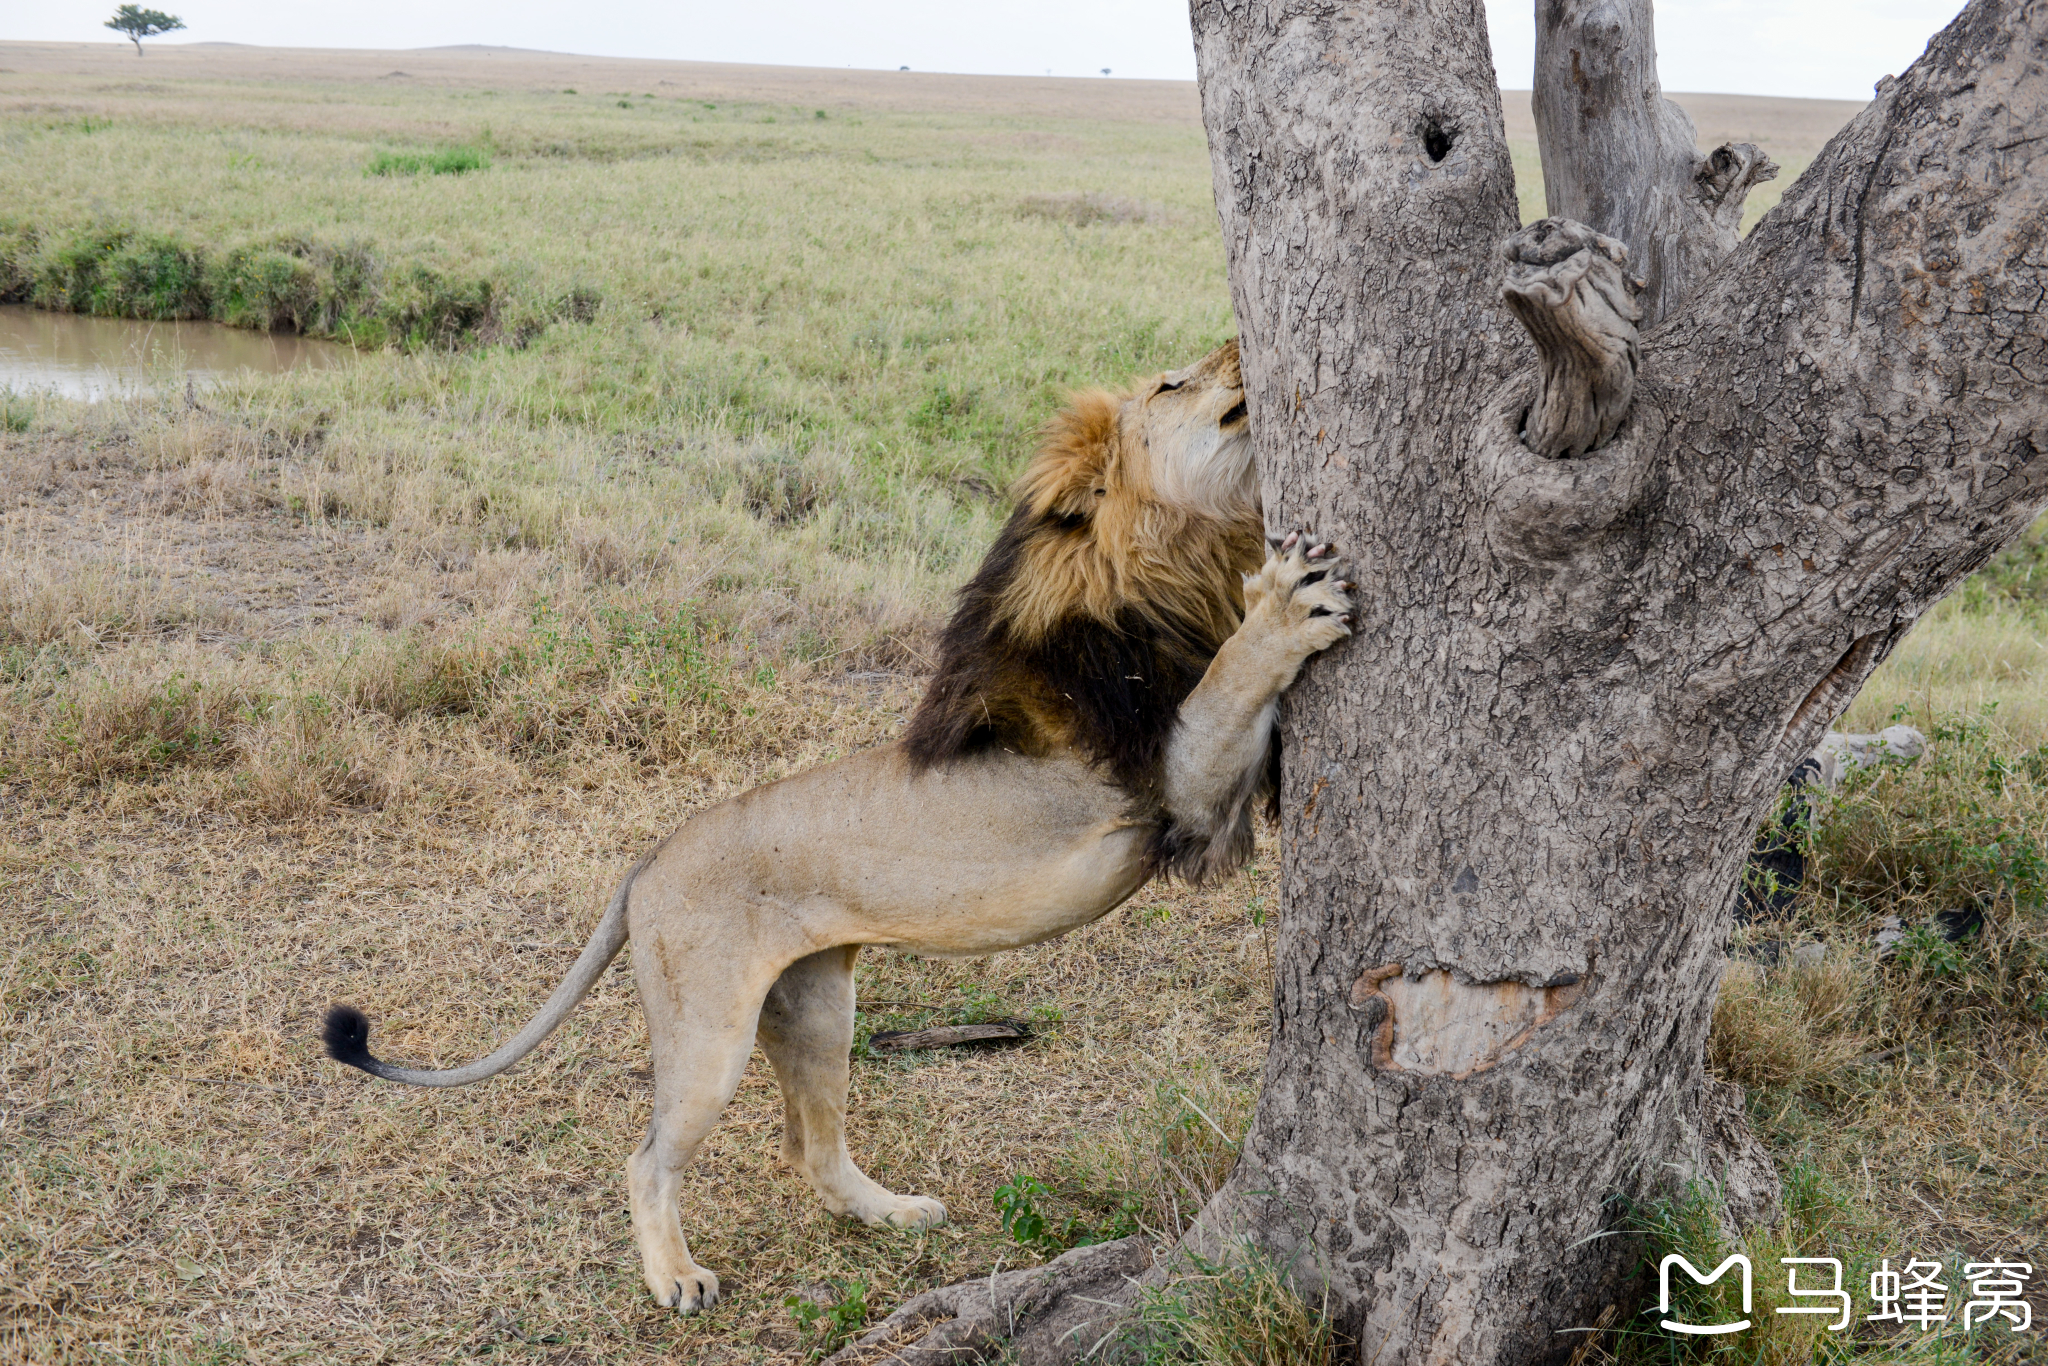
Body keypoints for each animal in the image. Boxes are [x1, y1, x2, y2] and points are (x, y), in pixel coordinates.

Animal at [319, 339, 1351, 1310]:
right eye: (1173, 384)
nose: (1234, 343)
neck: (1166, 565)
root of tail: (646, 863)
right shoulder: (1167, 782)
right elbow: (1235, 671)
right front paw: (1284, 602)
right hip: (710, 1035)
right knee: (648, 1157)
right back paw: (676, 1278)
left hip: (816, 1007)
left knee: (808, 1147)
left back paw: (895, 1213)